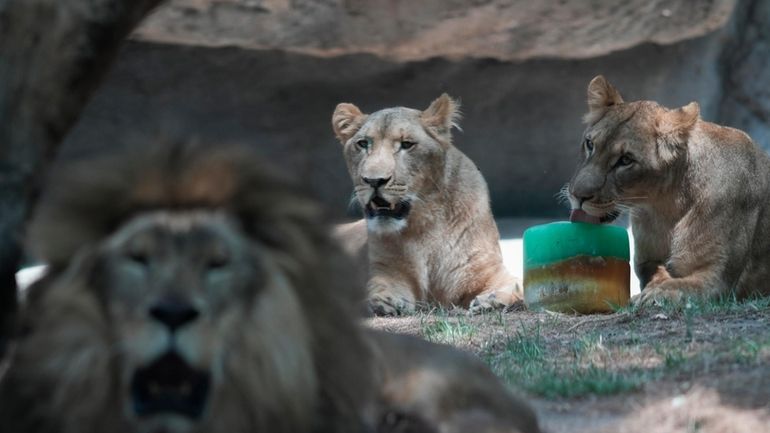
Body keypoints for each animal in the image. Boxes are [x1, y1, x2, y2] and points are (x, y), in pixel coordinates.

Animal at [332, 93, 520, 314]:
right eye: (363, 144)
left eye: (406, 144)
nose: (374, 181)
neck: (424, 225)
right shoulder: (385, 269)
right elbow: (381, 286)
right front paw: (383, 301)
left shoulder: (489, 270)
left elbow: (514, 285)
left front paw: (494, 300)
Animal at [560, 75, 768, 304]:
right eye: (590, 144)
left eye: (626, 160)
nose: (577, 196)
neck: (666, 204)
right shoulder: (647, 259)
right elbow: (655, 271)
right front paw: (654, 286)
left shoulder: (718, 278)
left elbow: (683, 285)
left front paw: (657, 292)